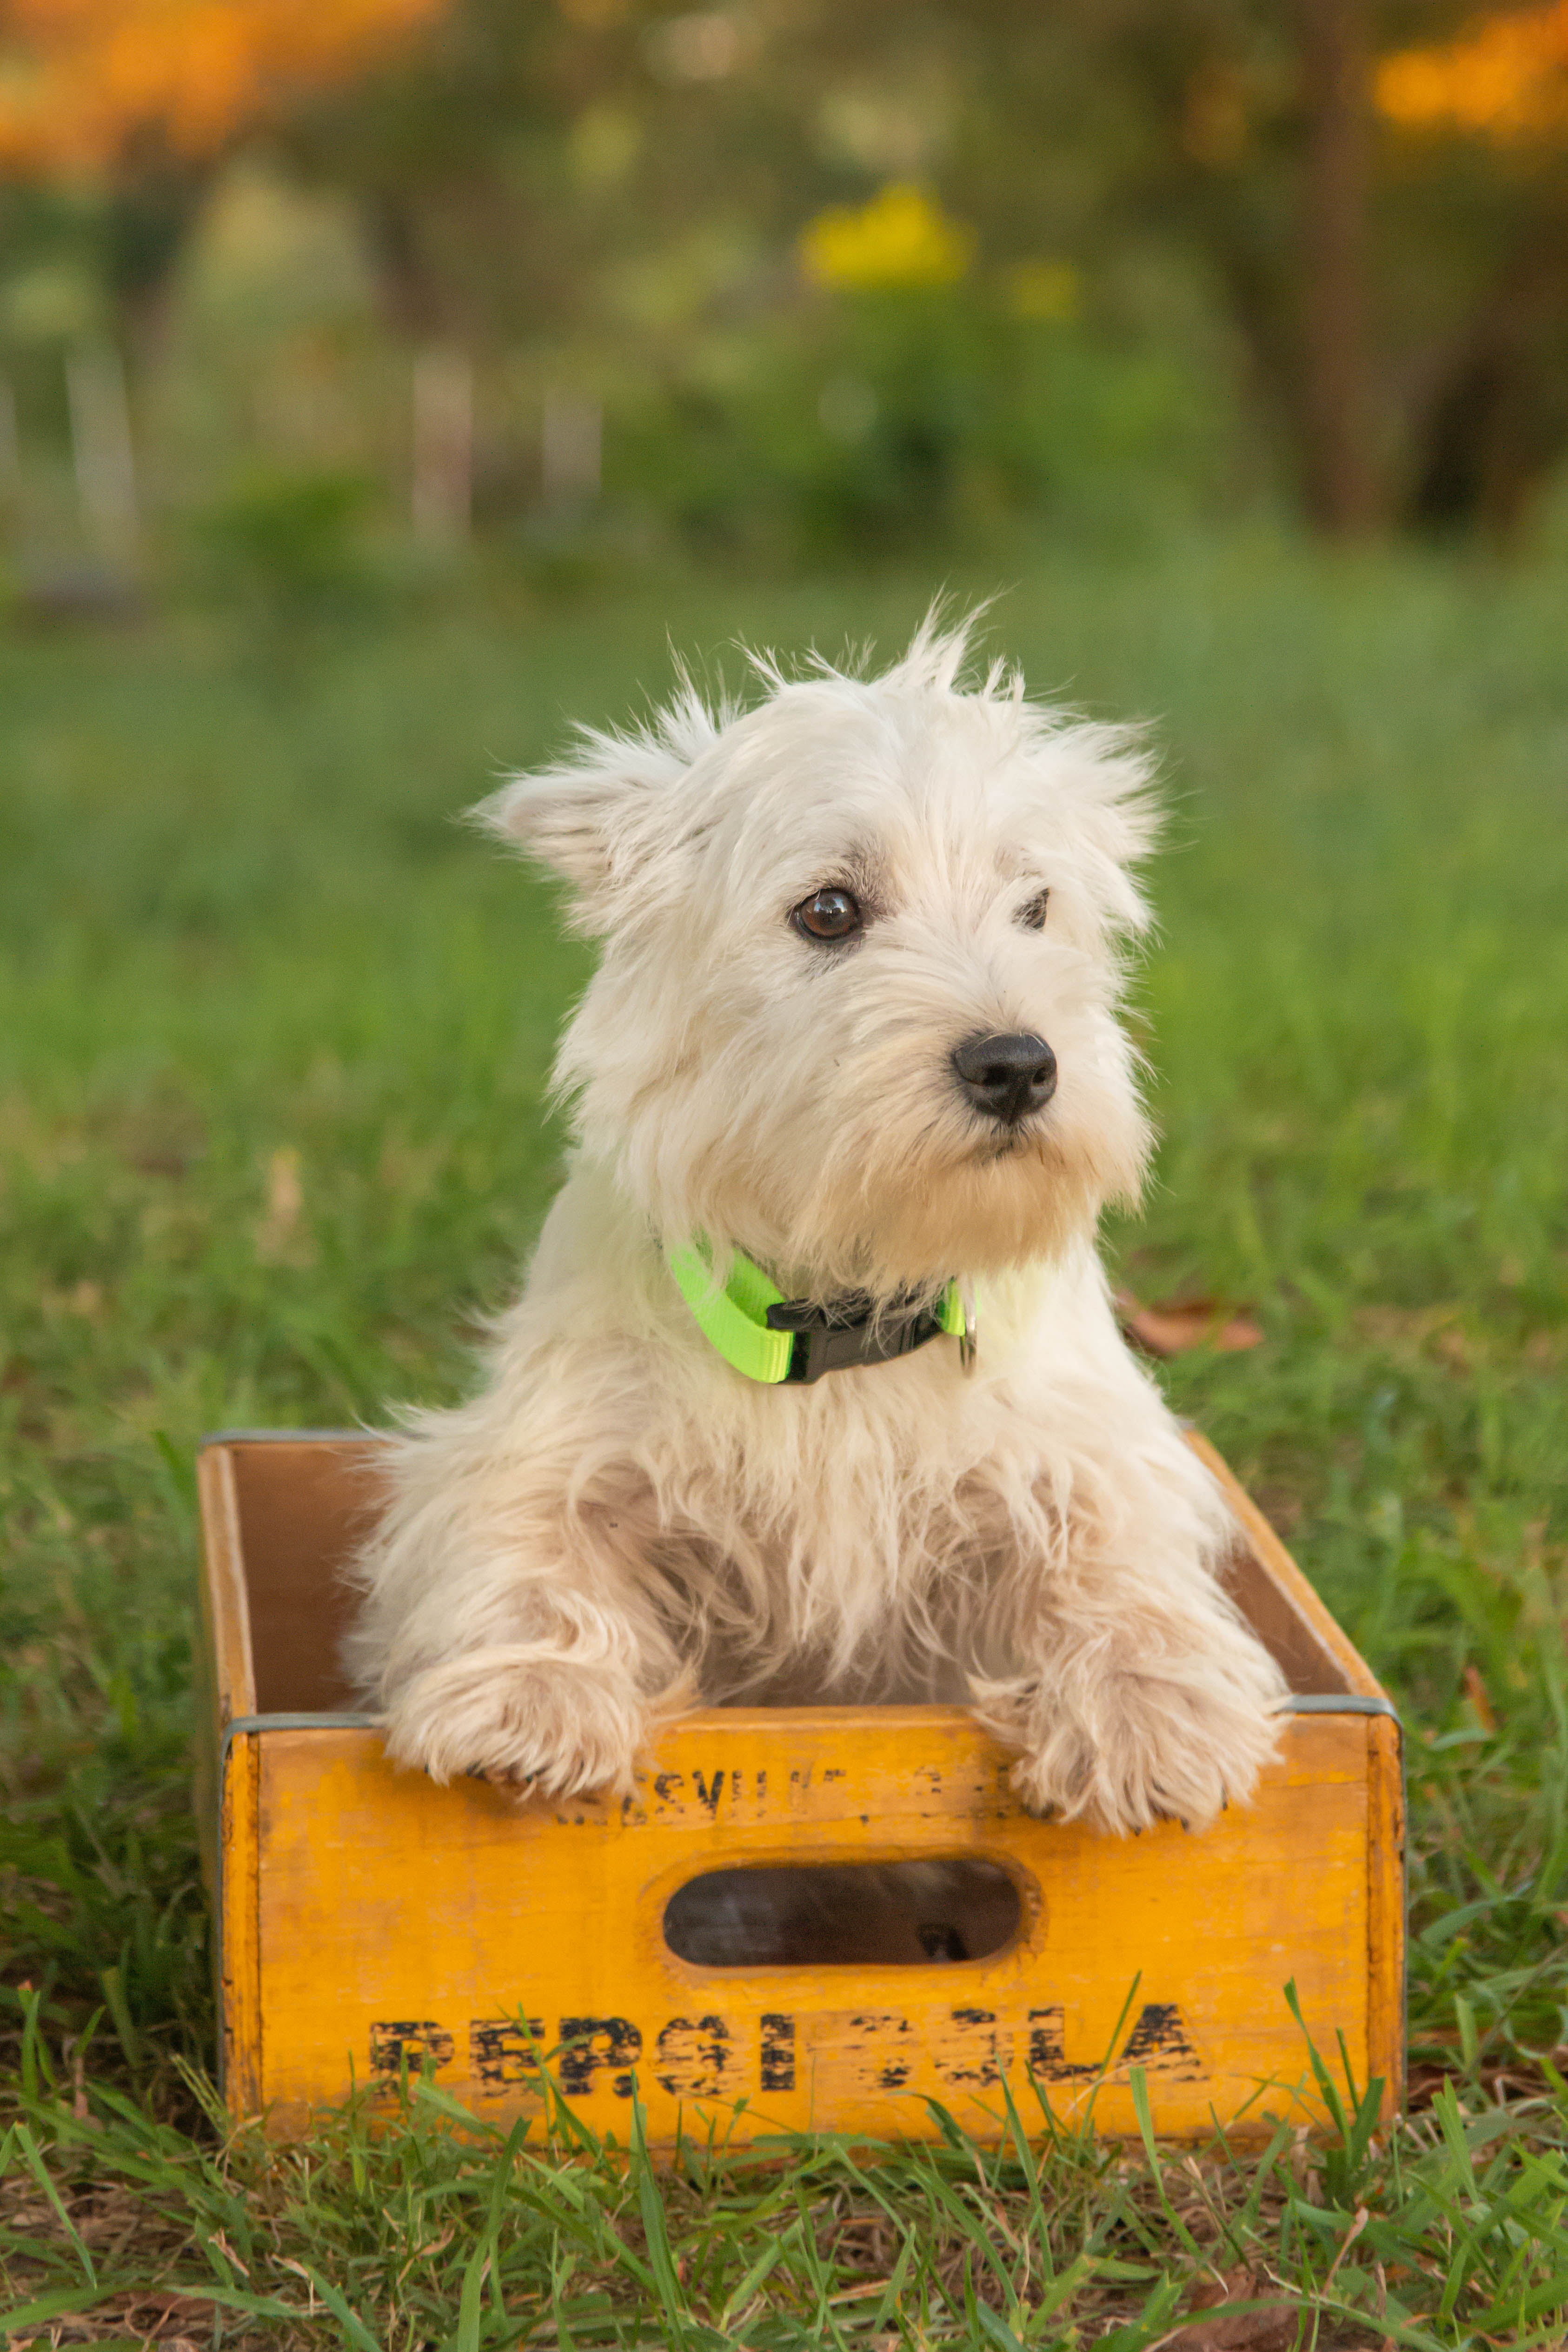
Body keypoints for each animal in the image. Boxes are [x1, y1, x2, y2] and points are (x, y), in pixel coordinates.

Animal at [350, 616, 1297, 1825]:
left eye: (1036, 906)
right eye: (829, 910)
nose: (1018, 1066)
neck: (846, 1297)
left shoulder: (1083, 1451)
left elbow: (1112, 1551)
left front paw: (1150, 1707)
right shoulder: (543, 1441)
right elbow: (529, 1539)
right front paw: (533, 1693)